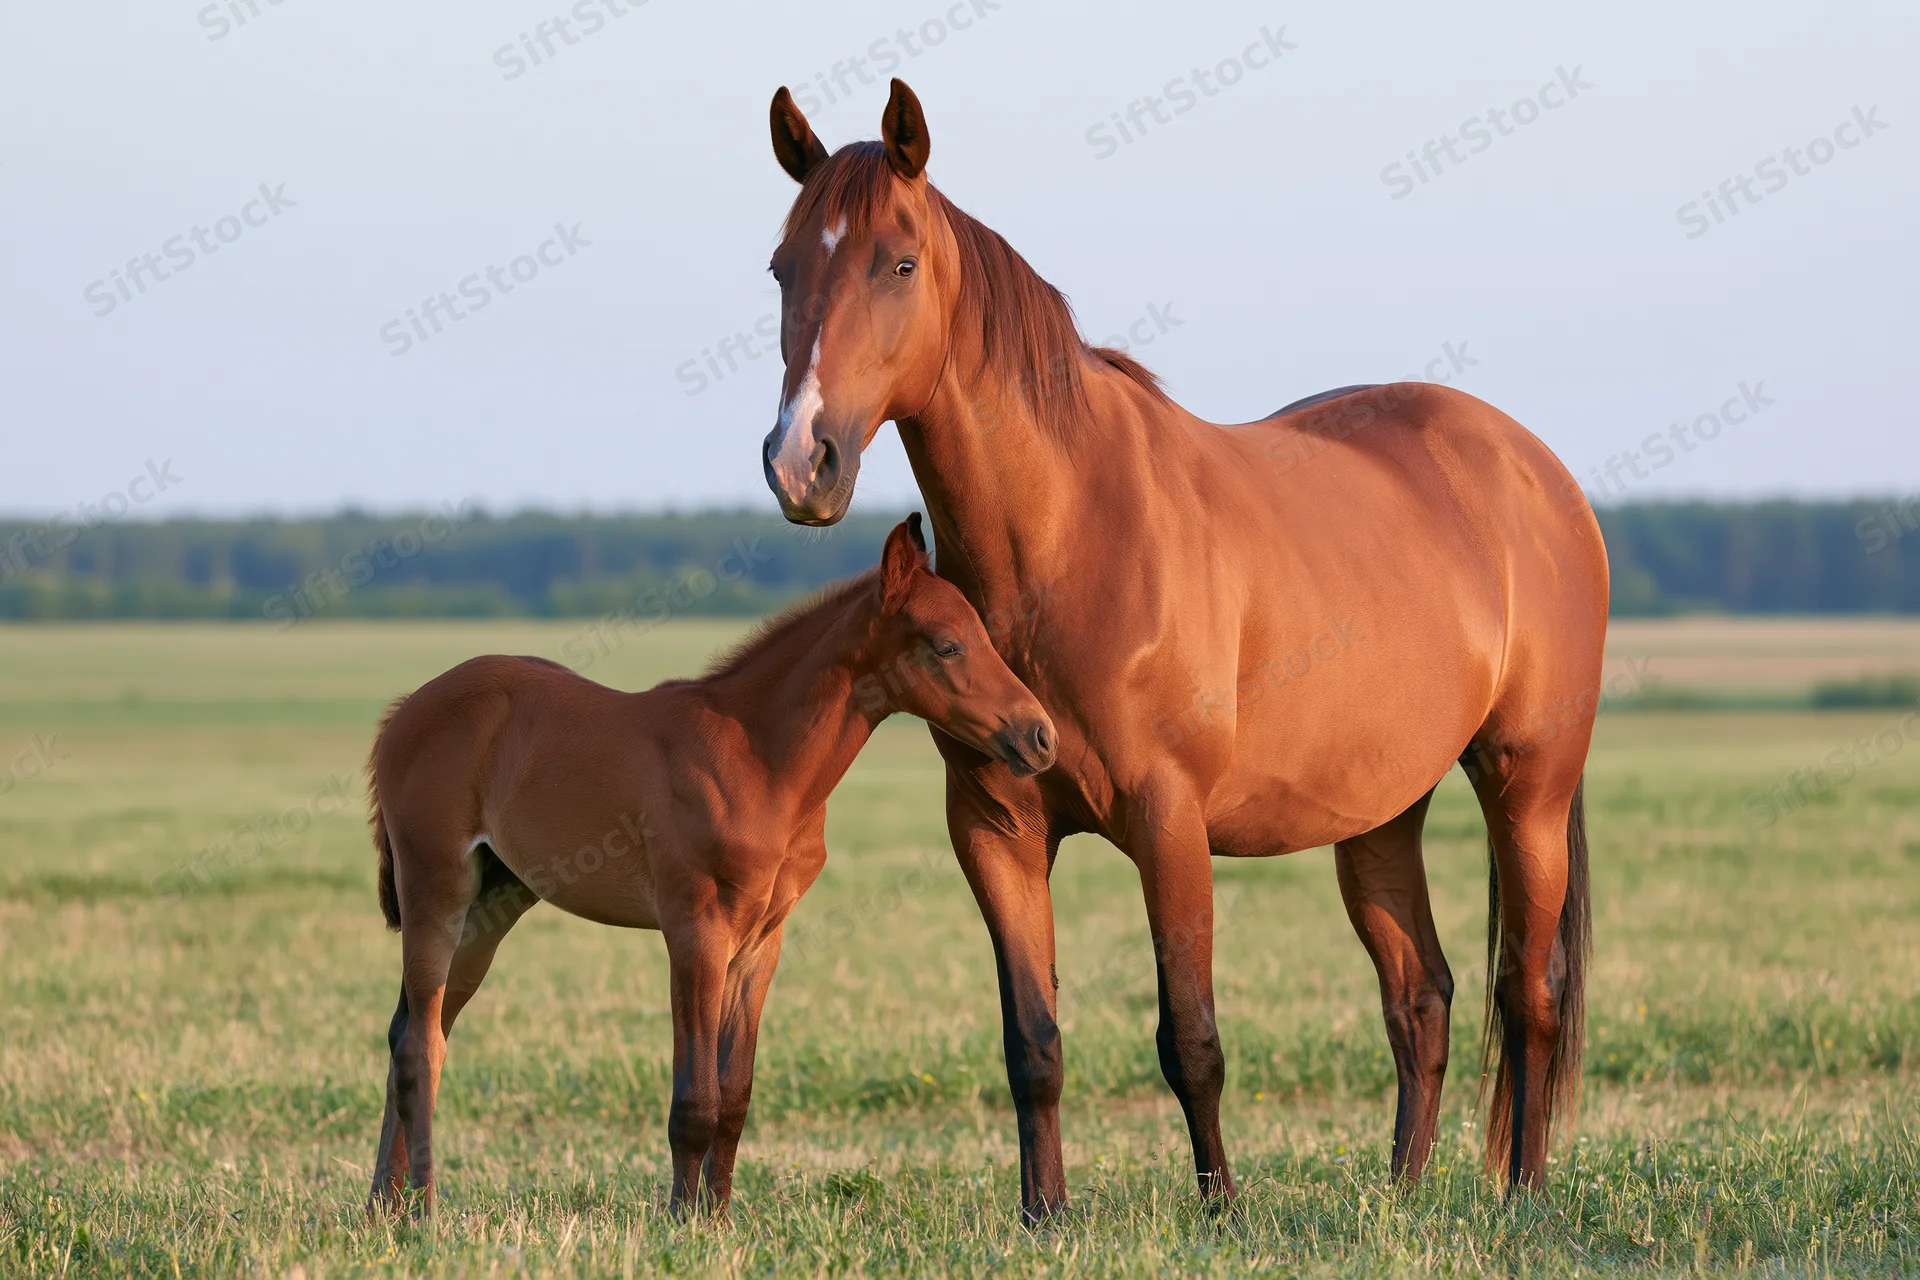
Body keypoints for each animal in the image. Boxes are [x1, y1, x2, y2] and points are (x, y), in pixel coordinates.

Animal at [362, 516, 1057, 1217]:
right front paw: (680, 1220)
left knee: (411, 1033)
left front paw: (716, 1217)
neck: (759, 760)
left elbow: (735, 1094)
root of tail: (402, 713)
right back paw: (422, 1209)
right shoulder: (696, 931)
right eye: (947, 646)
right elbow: (694, 1098)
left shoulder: (761, 943)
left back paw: (381, 1208)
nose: (1040, 737)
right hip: (437, 892)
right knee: (420, 1044)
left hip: (490, 909)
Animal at [757, 80, 1608, 1219]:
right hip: (1383, 810)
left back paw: (1523, 1194)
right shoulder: (994, 826)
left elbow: (1190, 1037)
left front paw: (1220, 1209)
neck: (1069, 529)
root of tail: (1534, 469)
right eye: (781, 268)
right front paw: (1044, 1214)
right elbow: (1032, 1041)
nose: (800, 461)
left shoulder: (1169, 821)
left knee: (1529, 993)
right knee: (1420, 995)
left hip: (1530, 787)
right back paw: (1402, 1193)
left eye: (898, 262)